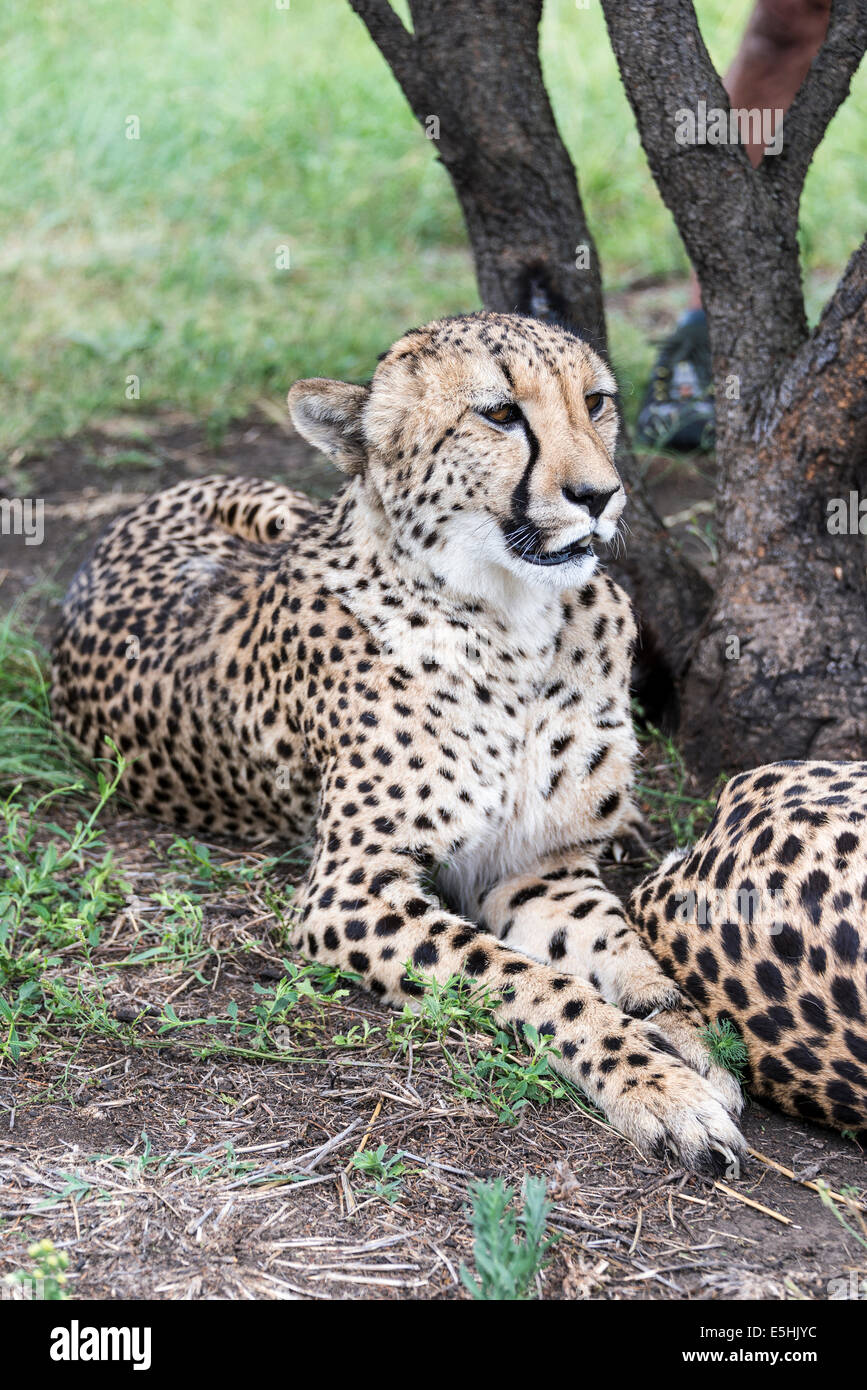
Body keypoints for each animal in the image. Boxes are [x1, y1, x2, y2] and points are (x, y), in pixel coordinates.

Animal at [52, 311, 746, 1174]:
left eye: (595, 402)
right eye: (499, 414)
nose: (598, 495)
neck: (515, 621)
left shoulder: (537, 868)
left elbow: (626, 955)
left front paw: (689, 1037)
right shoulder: (349, 888)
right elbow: (530, 981)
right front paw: (654, 1083)